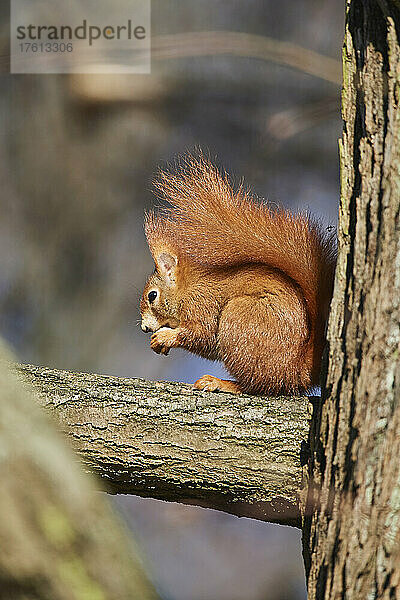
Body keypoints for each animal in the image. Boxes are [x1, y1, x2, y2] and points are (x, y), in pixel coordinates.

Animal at [139, 157, 336, 396]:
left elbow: (201, 334)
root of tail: (296, 368)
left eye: (152, 296)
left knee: (257, 384)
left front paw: (165, 336)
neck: (188, 287)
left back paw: (221, 383)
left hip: (240, 319)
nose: (144, 328)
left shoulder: (201, 304)